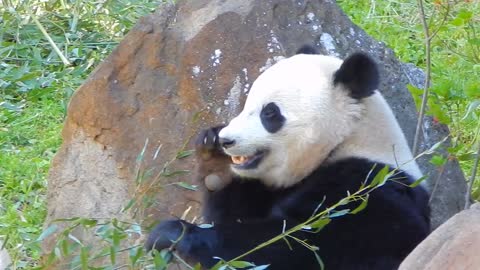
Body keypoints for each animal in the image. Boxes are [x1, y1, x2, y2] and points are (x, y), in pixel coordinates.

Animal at [147, 47, 432, 268]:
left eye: (269, 113)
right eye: (246, 104)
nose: (228, 140)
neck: (348, 139)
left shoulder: (368, 194)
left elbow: (296, 245)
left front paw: (174, 233)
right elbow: (235, 214)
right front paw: (215, 161)